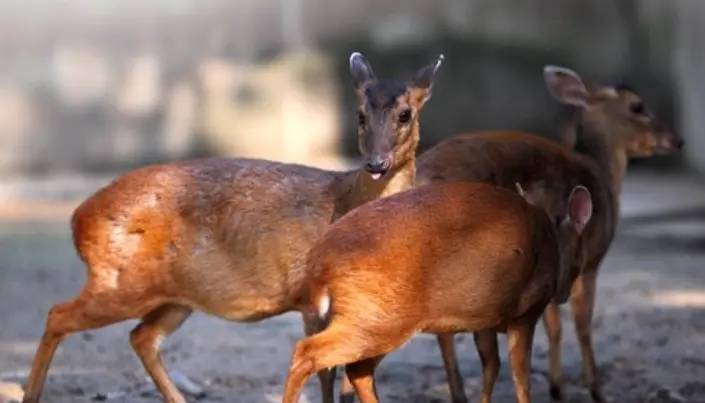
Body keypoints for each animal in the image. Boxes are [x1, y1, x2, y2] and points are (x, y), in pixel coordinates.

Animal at [20, 52, 446, 403]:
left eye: (405, 114)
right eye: (359, 114)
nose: (376, 163)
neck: (347, 200)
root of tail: (78, 219)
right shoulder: (310, 296)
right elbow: (326, 370)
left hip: (175, 296)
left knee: (142, 337)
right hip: (120, 282)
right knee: (59, 314)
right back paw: (32, 394)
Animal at [282, 181, 592, 403]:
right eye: (579, 257)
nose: (563, 295)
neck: (551, 241)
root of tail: (319, 261)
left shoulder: (485, 317)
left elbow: (491, 365)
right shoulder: (526, 312)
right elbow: (520, 377)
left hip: (376, 318)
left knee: (357, 371)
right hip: (378, 317)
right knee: (306, 352)